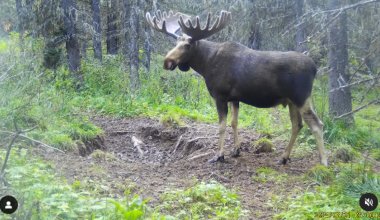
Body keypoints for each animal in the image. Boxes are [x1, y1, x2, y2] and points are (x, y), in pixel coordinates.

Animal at [147, 9, 328, 166]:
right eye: (176, 42)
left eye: (187, 45)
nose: (167, 61)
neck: (206, 65)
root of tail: (314, 68)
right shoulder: (235, 98)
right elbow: (234, 122)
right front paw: (236, 150)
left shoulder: (220, 95)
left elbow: (221, 126)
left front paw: (219, 155)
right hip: (291, 101)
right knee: (297, 125)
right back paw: (284, 157)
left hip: (301, 97)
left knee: (317, 124)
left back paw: (323, 162)